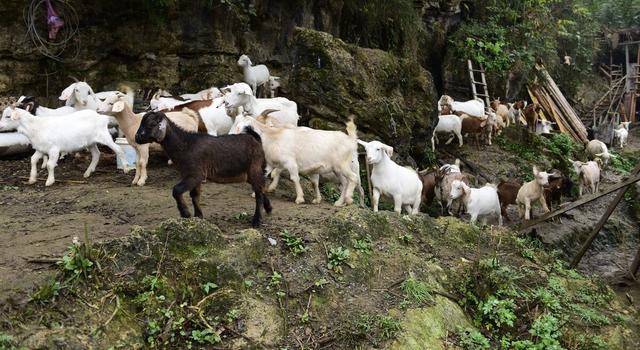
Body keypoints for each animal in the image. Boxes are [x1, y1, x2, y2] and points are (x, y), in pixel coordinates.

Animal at [136, 111, 272, 227]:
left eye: (151, 124)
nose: (137, 137)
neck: (185, 144)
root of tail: (256, 139)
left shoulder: (195, 174)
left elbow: (177, 190)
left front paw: (186, 214)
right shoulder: (192, 176)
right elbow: (195, 196)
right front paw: (198, 217)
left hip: (254, 168)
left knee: (259, 193)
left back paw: (256, 221)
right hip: (248, 173)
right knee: (260, 189)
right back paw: (269, 208)